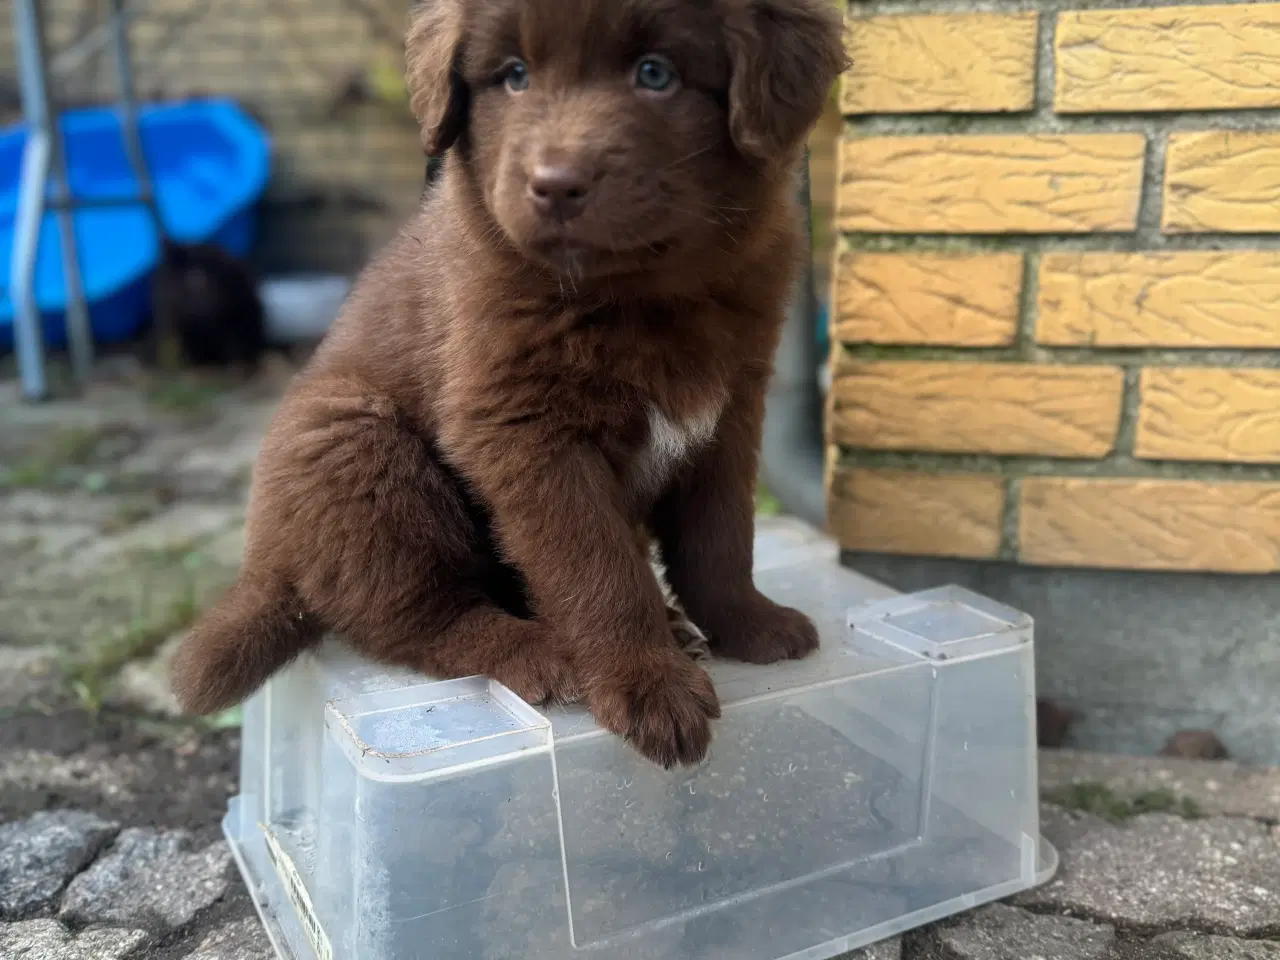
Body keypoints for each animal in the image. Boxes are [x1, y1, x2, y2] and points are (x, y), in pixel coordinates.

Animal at [172, 0, 849, 773]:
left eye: (656, 74)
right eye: (515, 75)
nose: (554, 184)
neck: (642, 293)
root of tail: (271, 567)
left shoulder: (731, 411)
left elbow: (721, 539)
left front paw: (748, 623)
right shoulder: (525, 430)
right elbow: (596, 566)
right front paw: (647, 684)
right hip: (356, 445)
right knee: (421, 620)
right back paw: (539, 652)